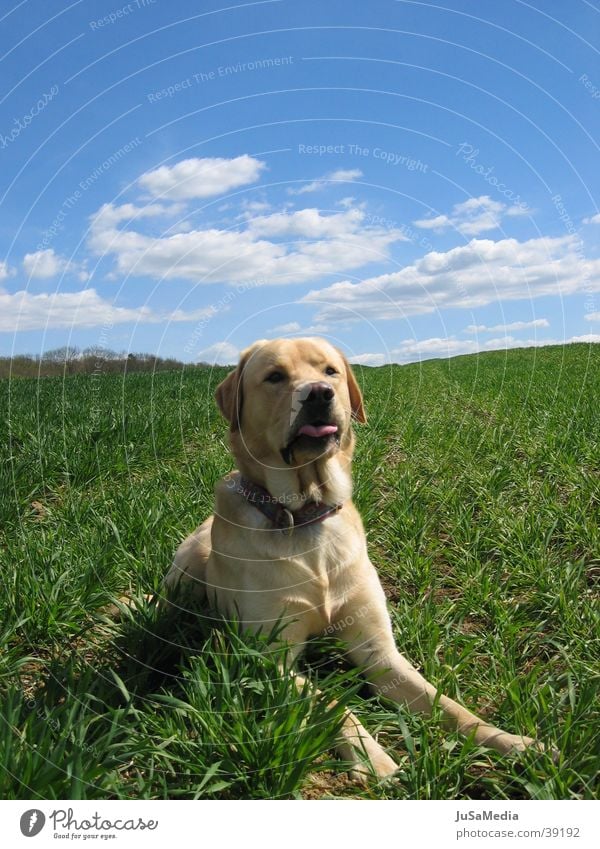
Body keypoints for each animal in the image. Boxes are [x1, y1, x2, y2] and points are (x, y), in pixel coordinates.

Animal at [163, 334, 540, 780]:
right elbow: (333, 705)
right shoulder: (270, 659)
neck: (305, 514)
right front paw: (373, 758)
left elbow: (447, 704)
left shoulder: (379, 649)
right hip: (188, 568)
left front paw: (513, 743)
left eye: (330, 371)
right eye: (275, 376)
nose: (319, 394)